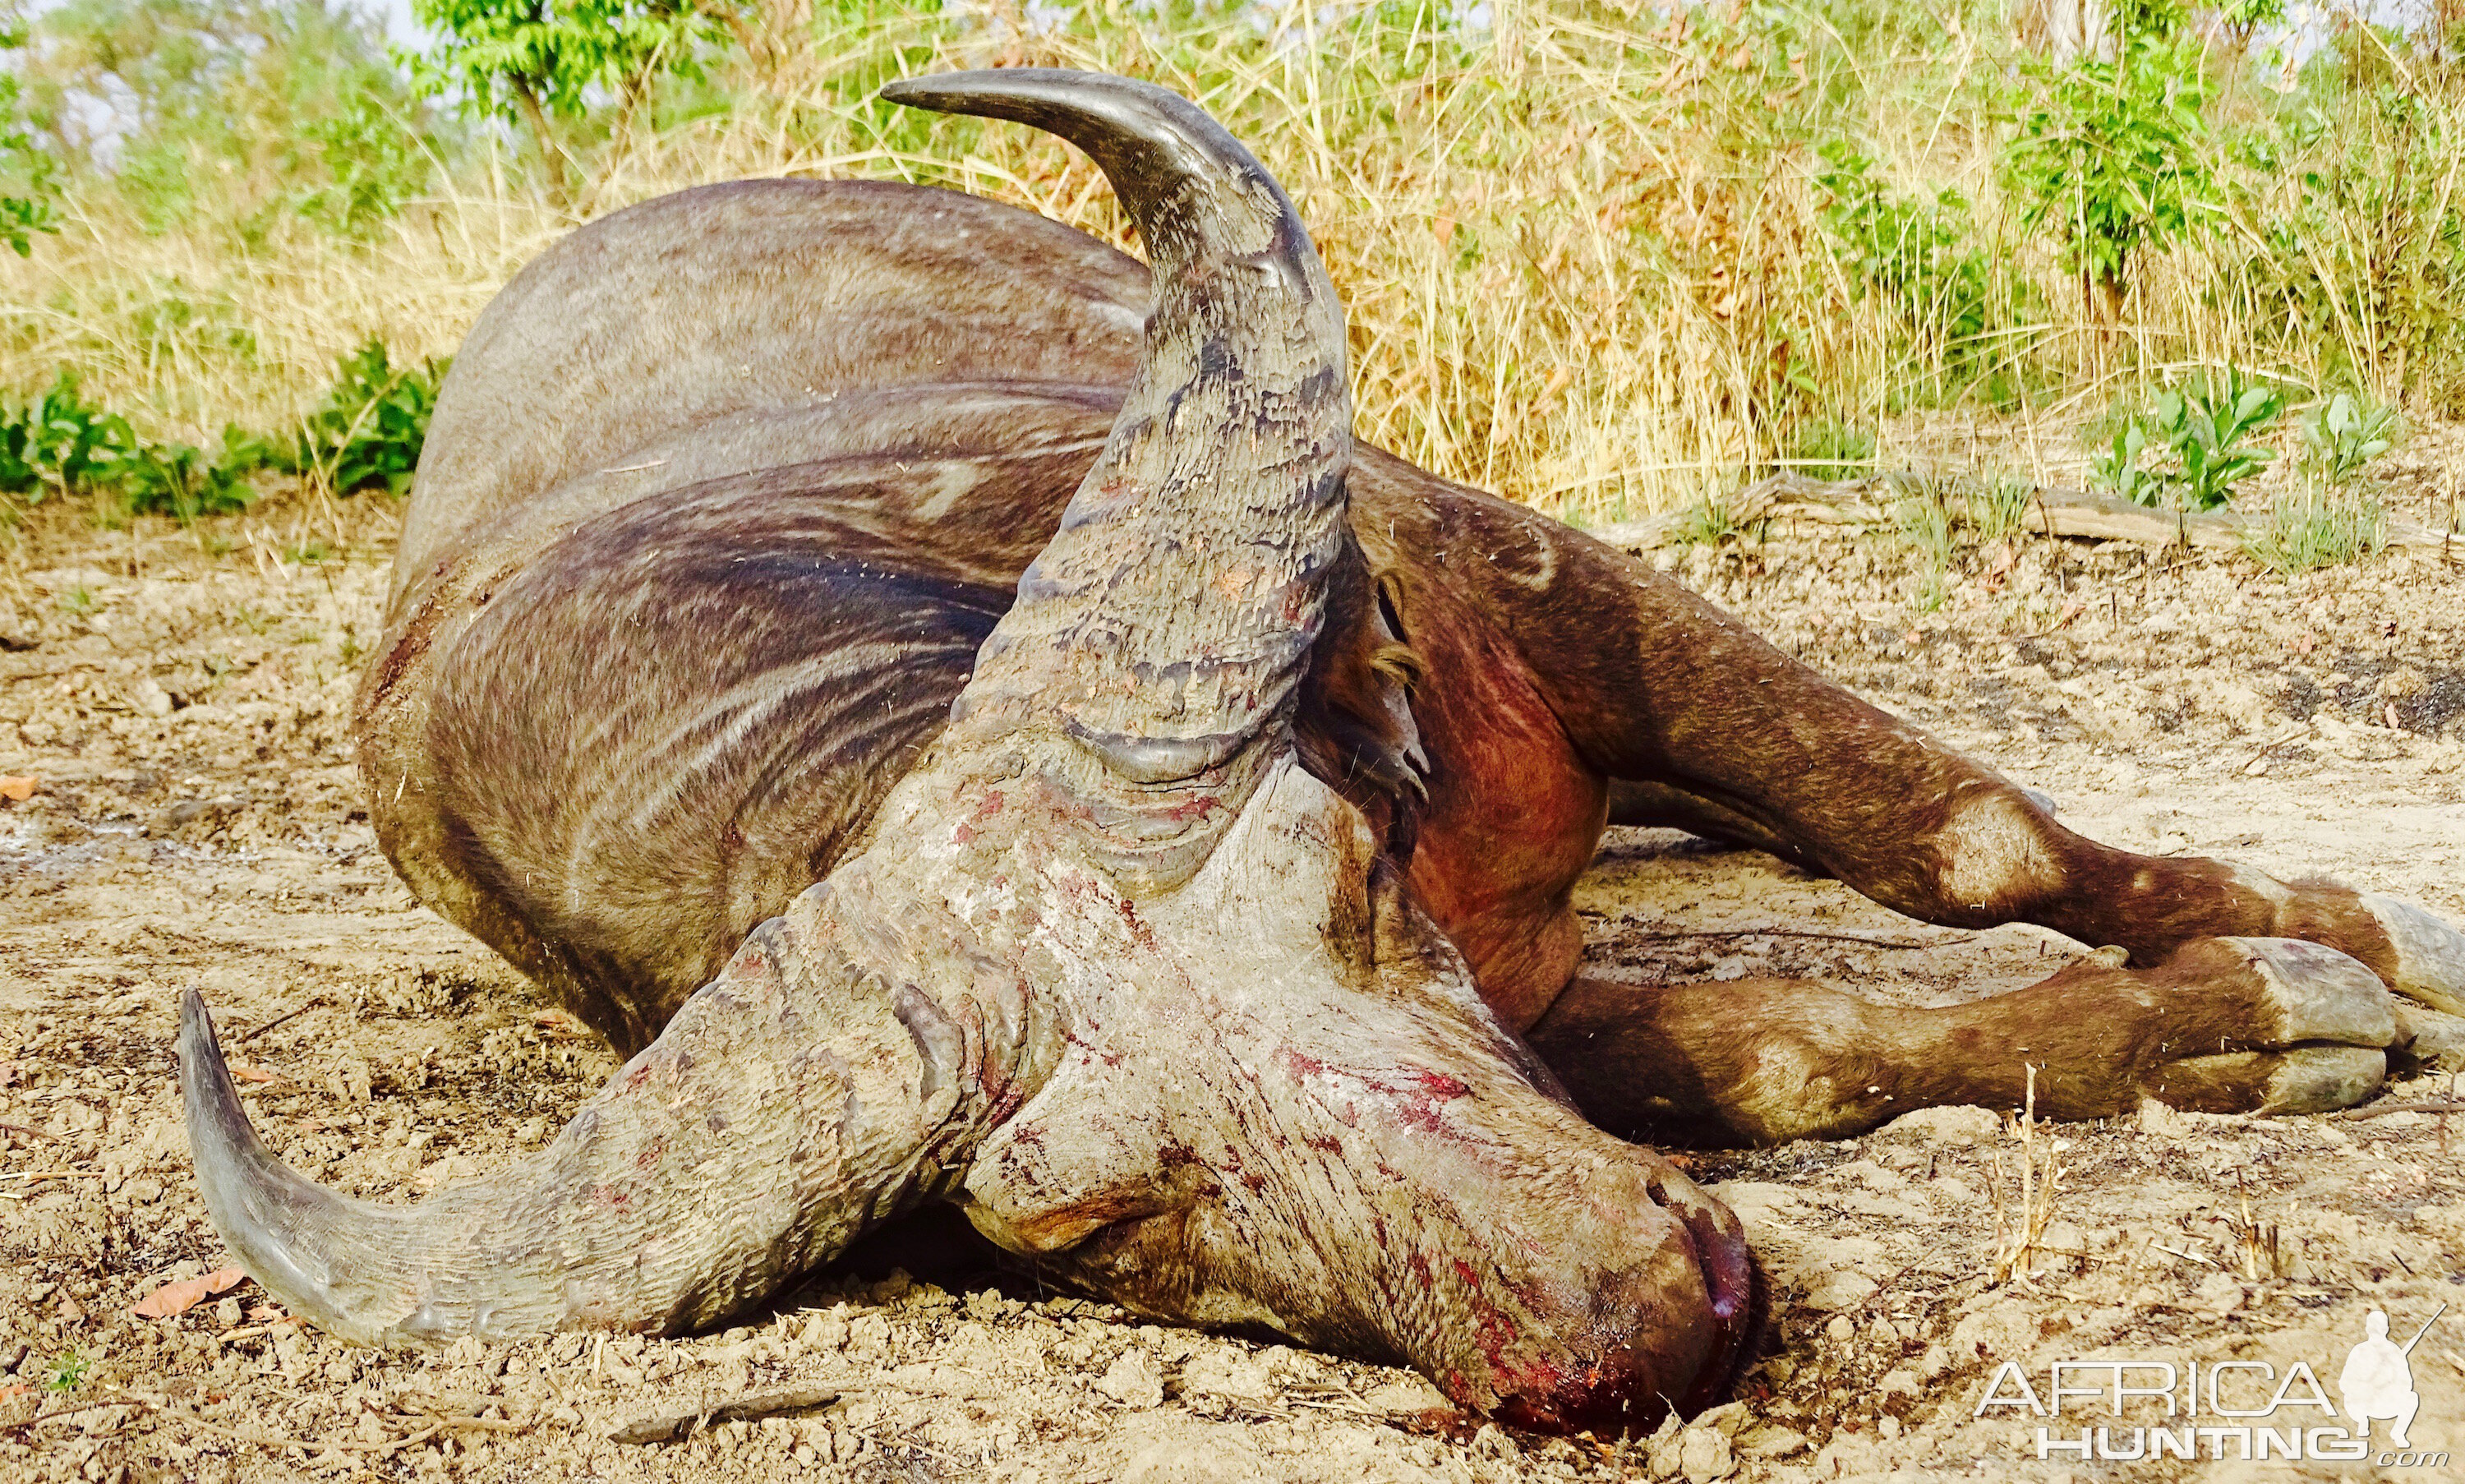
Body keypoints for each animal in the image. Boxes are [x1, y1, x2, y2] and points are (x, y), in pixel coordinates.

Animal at [182, 69, 2465, 1430]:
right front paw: (2238, 1021)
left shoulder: (1548, 576)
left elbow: (1963, 835)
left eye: (1348, 890)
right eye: (1089, 1228)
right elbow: (1773, 1053)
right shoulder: (1558, 1004)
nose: (1642, 1324)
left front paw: (2332, 948)